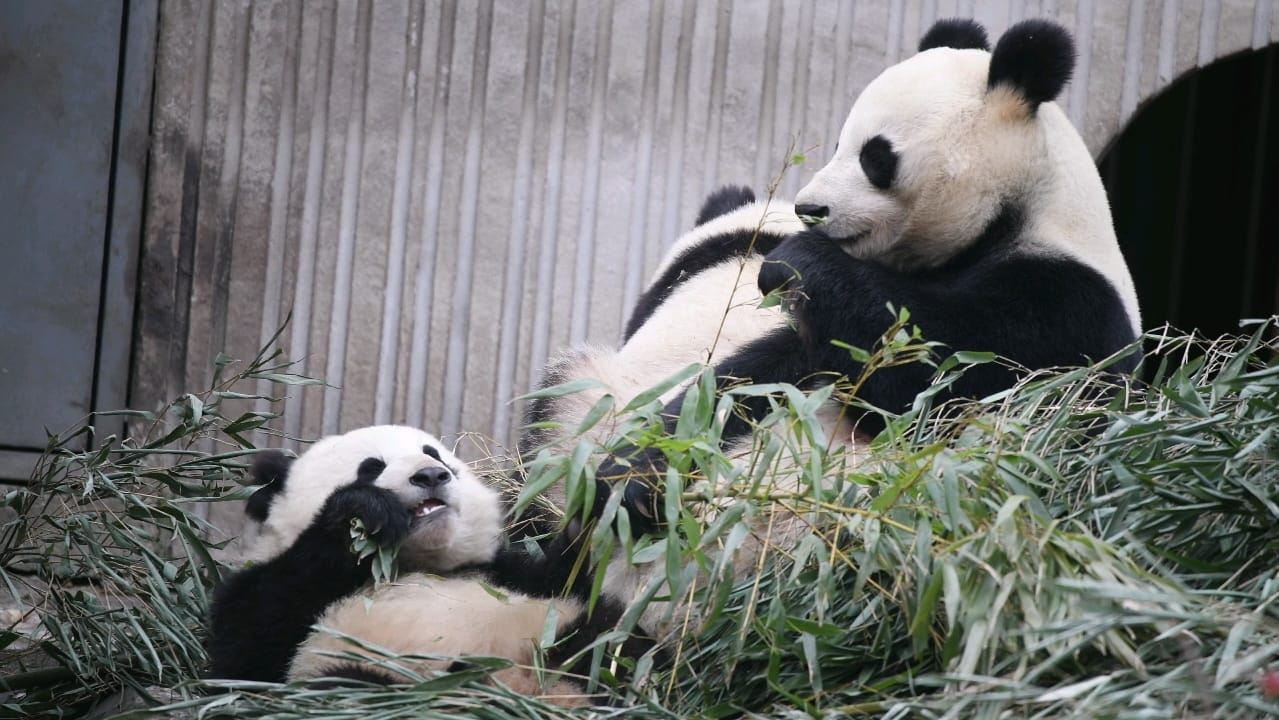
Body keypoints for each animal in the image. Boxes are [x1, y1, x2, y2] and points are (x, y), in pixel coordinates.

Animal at [207, 425, 650, 704]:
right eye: (371, 466)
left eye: (434, 454)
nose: (432, 475)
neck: (409, 564)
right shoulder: (273, 597)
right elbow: (247, 656)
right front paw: (362, 513)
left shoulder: (503, 572)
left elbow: (576, 570)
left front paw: (626, 487)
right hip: (359, 672)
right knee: (349, 689)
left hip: (561, 633)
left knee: (611, 643)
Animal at [586, 18, 1141, 534]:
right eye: (838, 142)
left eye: (876, 156)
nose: (809, 208)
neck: (1018, 210)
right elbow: (753, 378)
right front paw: (629, 479)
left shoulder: (1064, 308)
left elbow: (932, 376)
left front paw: (794, 262)